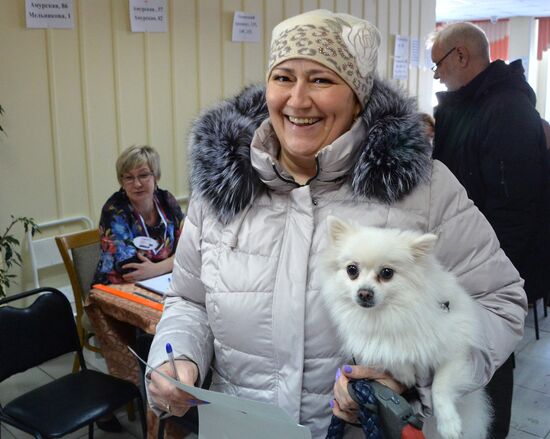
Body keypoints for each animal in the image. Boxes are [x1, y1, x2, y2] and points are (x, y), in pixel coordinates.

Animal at [322, 217, 494, 439]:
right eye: (352, 270)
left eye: (387, 273)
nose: (364, 293)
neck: (391, 314)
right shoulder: (371, 348)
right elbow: (391, 356)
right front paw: (405, 373)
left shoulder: (455, 352)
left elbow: (440, 386)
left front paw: (449, 424)